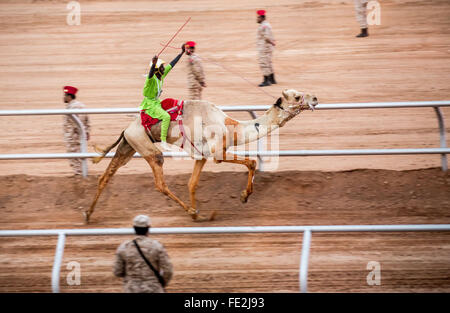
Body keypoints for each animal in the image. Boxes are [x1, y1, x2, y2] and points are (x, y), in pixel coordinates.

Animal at [86, 88, 318, 222]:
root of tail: (125, 130)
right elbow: (252, 162)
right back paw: (190, 211)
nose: (315, 98)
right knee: (159, 181)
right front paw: (243, 196)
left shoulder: (202, 156)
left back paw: (88, 214)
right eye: (297, 96)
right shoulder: (217, 153)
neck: (231, 126)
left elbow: (192, 183)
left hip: (128, 146)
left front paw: (204, 213)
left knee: (106, 176)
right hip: (146, 147)